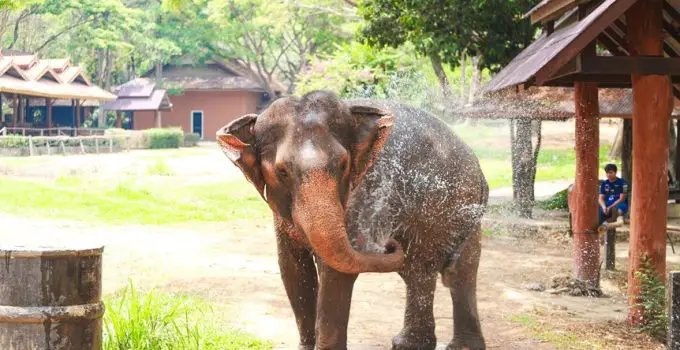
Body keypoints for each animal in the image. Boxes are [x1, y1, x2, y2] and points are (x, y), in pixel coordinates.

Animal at [218, 91, 488, 350]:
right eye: (282, 171)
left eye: (343, 165)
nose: (388, 243)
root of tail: (478, 167)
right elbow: (293, 268)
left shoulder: (362, 192)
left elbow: (335, 271)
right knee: (419, 269)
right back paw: (410, 344)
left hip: (452, 203)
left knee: (451, 270)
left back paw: (460, 347)